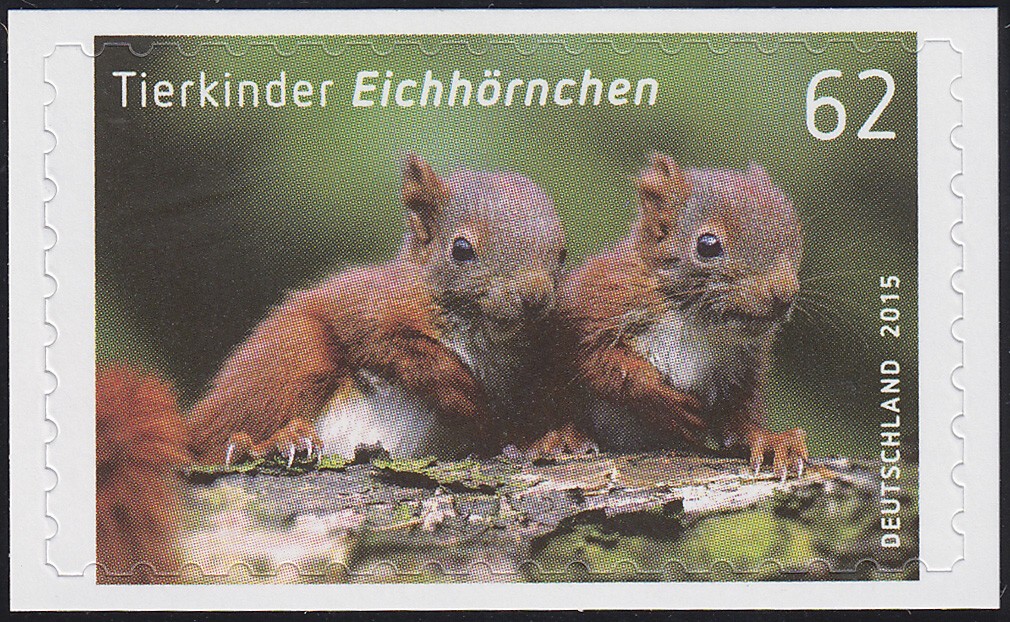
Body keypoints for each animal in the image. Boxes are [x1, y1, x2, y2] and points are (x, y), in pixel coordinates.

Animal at [553, 153, 808, 479]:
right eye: (707, 244)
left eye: (796, 236)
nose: (783, 294)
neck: (693, 319)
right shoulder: (595, 305)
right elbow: (600, 362)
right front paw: (664, 399)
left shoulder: (744, 364)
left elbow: (739, 418)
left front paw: (770, 440)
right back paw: (559, 438)